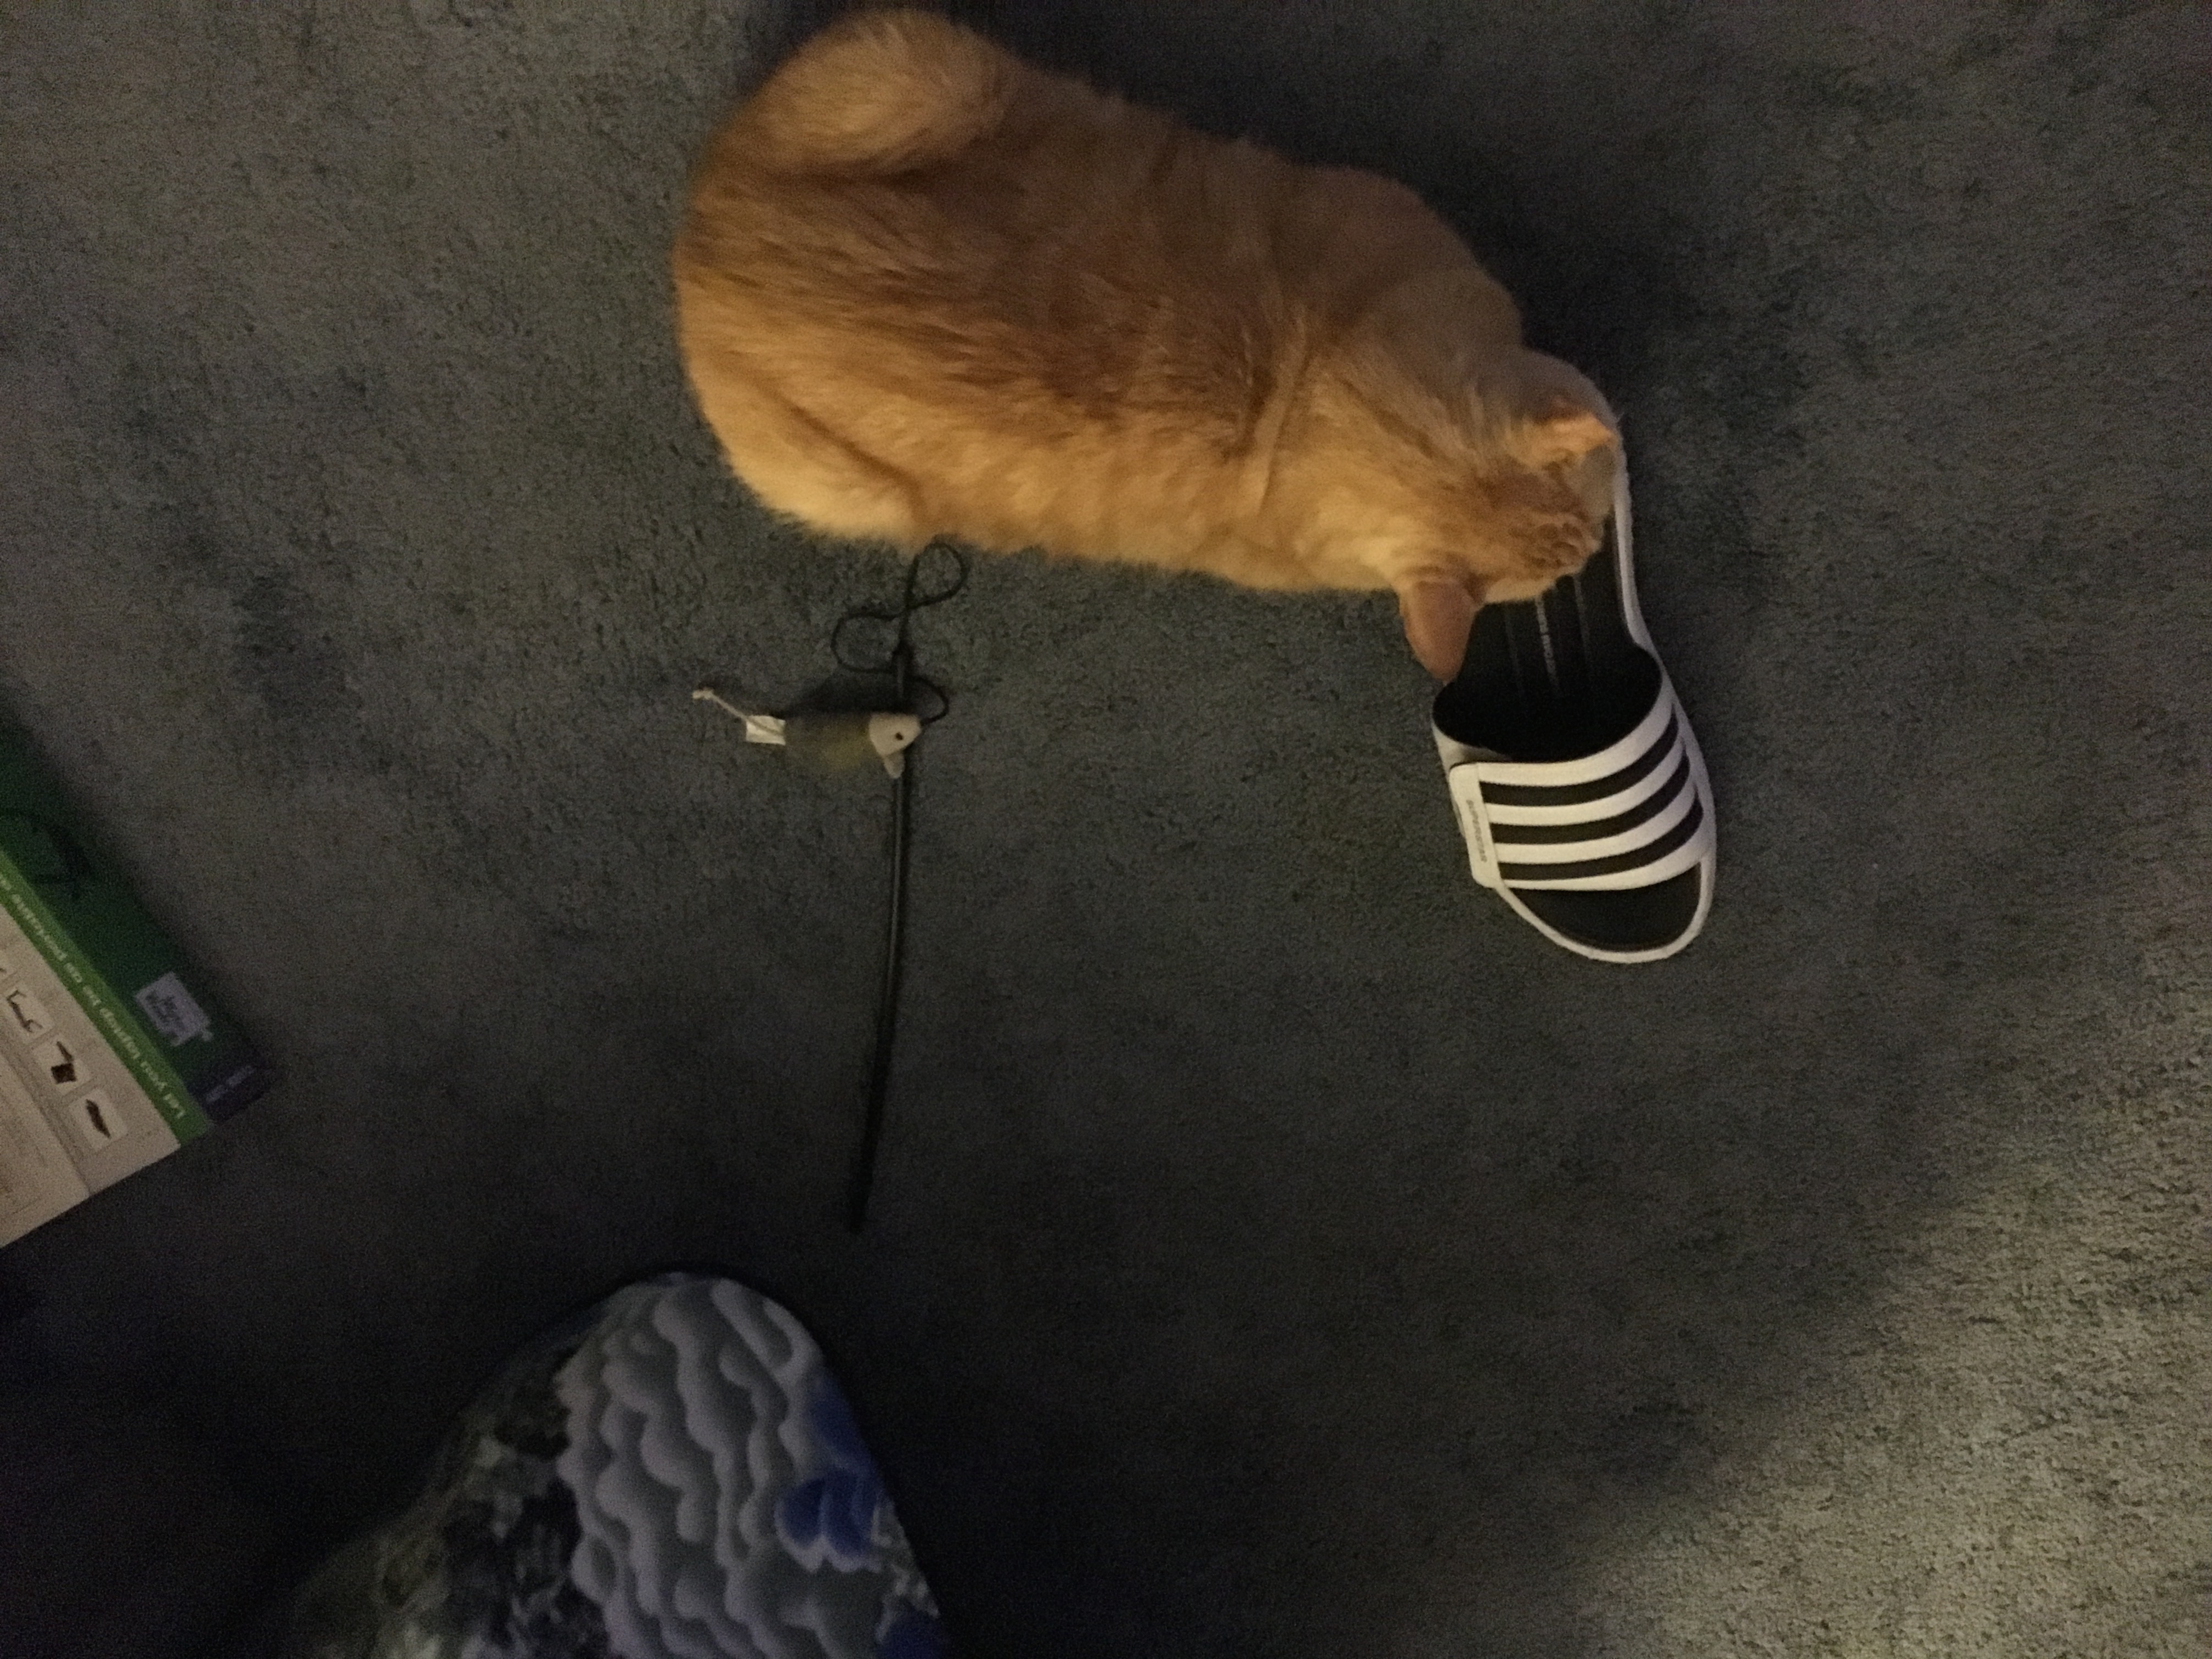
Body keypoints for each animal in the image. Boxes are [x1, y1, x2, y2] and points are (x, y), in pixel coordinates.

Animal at [673, 7, 1620, 679]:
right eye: (1565, 567)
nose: (1598, 551)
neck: (1307, 397)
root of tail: (709, 244)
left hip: (927, 74)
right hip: (840, 491)